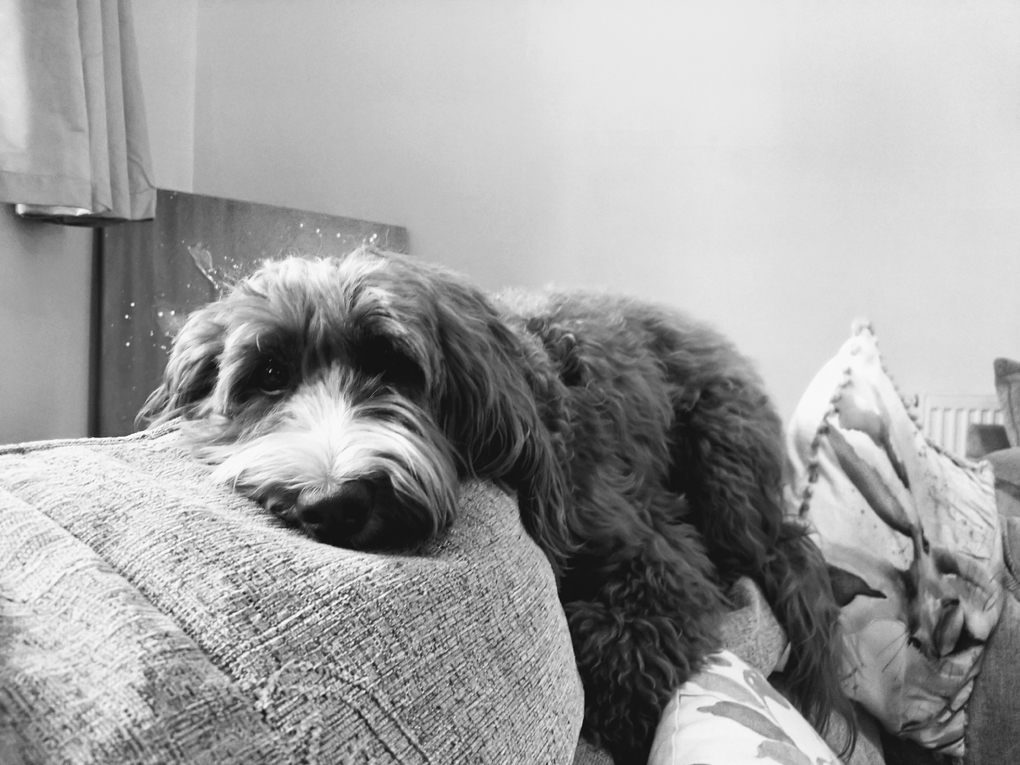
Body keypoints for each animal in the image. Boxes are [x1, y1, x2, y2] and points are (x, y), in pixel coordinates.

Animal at [137, 248, 852, 762]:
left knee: (771, 546)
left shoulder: (656, 552)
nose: (334, 501)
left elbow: (633, 646)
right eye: (268, 376)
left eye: (395, 366)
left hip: (724, 463)